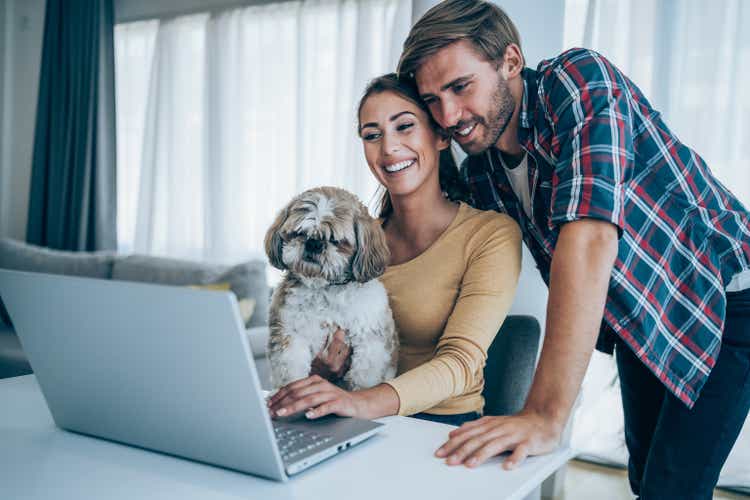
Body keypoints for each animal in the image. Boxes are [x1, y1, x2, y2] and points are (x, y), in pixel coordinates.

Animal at [268, 187, 402, 390]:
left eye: (335, 240)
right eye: (299, 233)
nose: (313, 243)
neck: (325, 288)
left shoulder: (371, 343)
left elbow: (364, 379)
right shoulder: (289, 334)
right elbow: (292, 375)